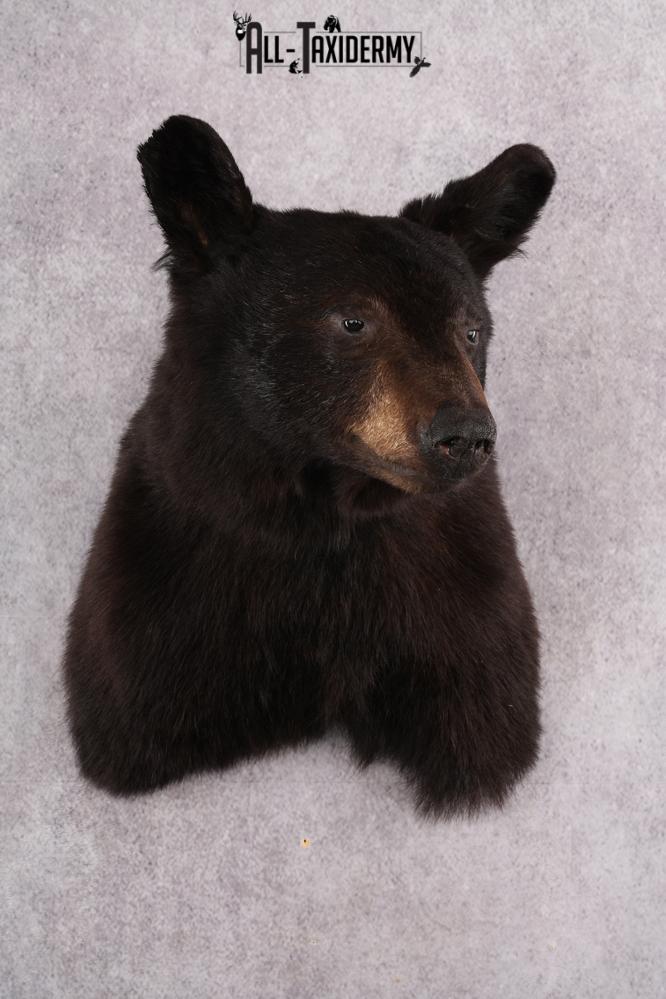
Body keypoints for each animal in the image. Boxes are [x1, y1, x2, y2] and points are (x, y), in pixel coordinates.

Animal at [63, 115, 555, 817]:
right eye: (353, 321)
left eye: (470, 331)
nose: (464, 435)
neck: (323, 516)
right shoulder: (166, 586)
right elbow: (131, 705)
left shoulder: (459, 595)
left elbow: (484, 704)